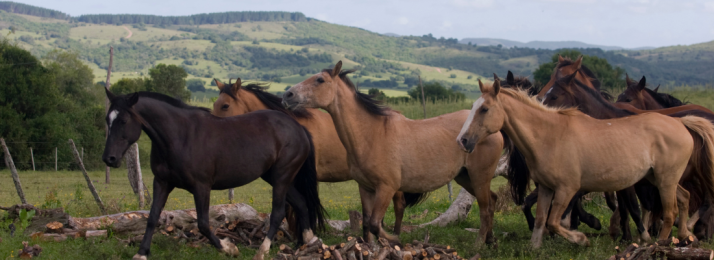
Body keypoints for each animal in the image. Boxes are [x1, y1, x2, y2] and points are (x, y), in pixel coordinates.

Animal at [101, 89, 326, 260]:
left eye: (123, 120)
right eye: (107, 119)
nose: (109, 158)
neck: (180, 136)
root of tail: (298, 128)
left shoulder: (201, 187)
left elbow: (202, 223)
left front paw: (229, 248)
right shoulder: (162, 182)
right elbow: (152, 217)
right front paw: (141, 253)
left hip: (281, 177)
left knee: (278, 212)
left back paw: (262, 251)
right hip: (276, 177)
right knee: (301, 204)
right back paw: (310, 241)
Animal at [280, 61, 504, 246]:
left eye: (320, 80)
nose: (287, 95)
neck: (372, 134)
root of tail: (495, 130)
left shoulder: (386, 188)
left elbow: (375, 223)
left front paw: (394, 239)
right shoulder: (365, 188)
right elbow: (366, 223)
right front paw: (372, 247)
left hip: (479, 177)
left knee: (485, 208)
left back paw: (479, 245)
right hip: (465, 177)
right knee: (492, 200)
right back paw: (490, 240)